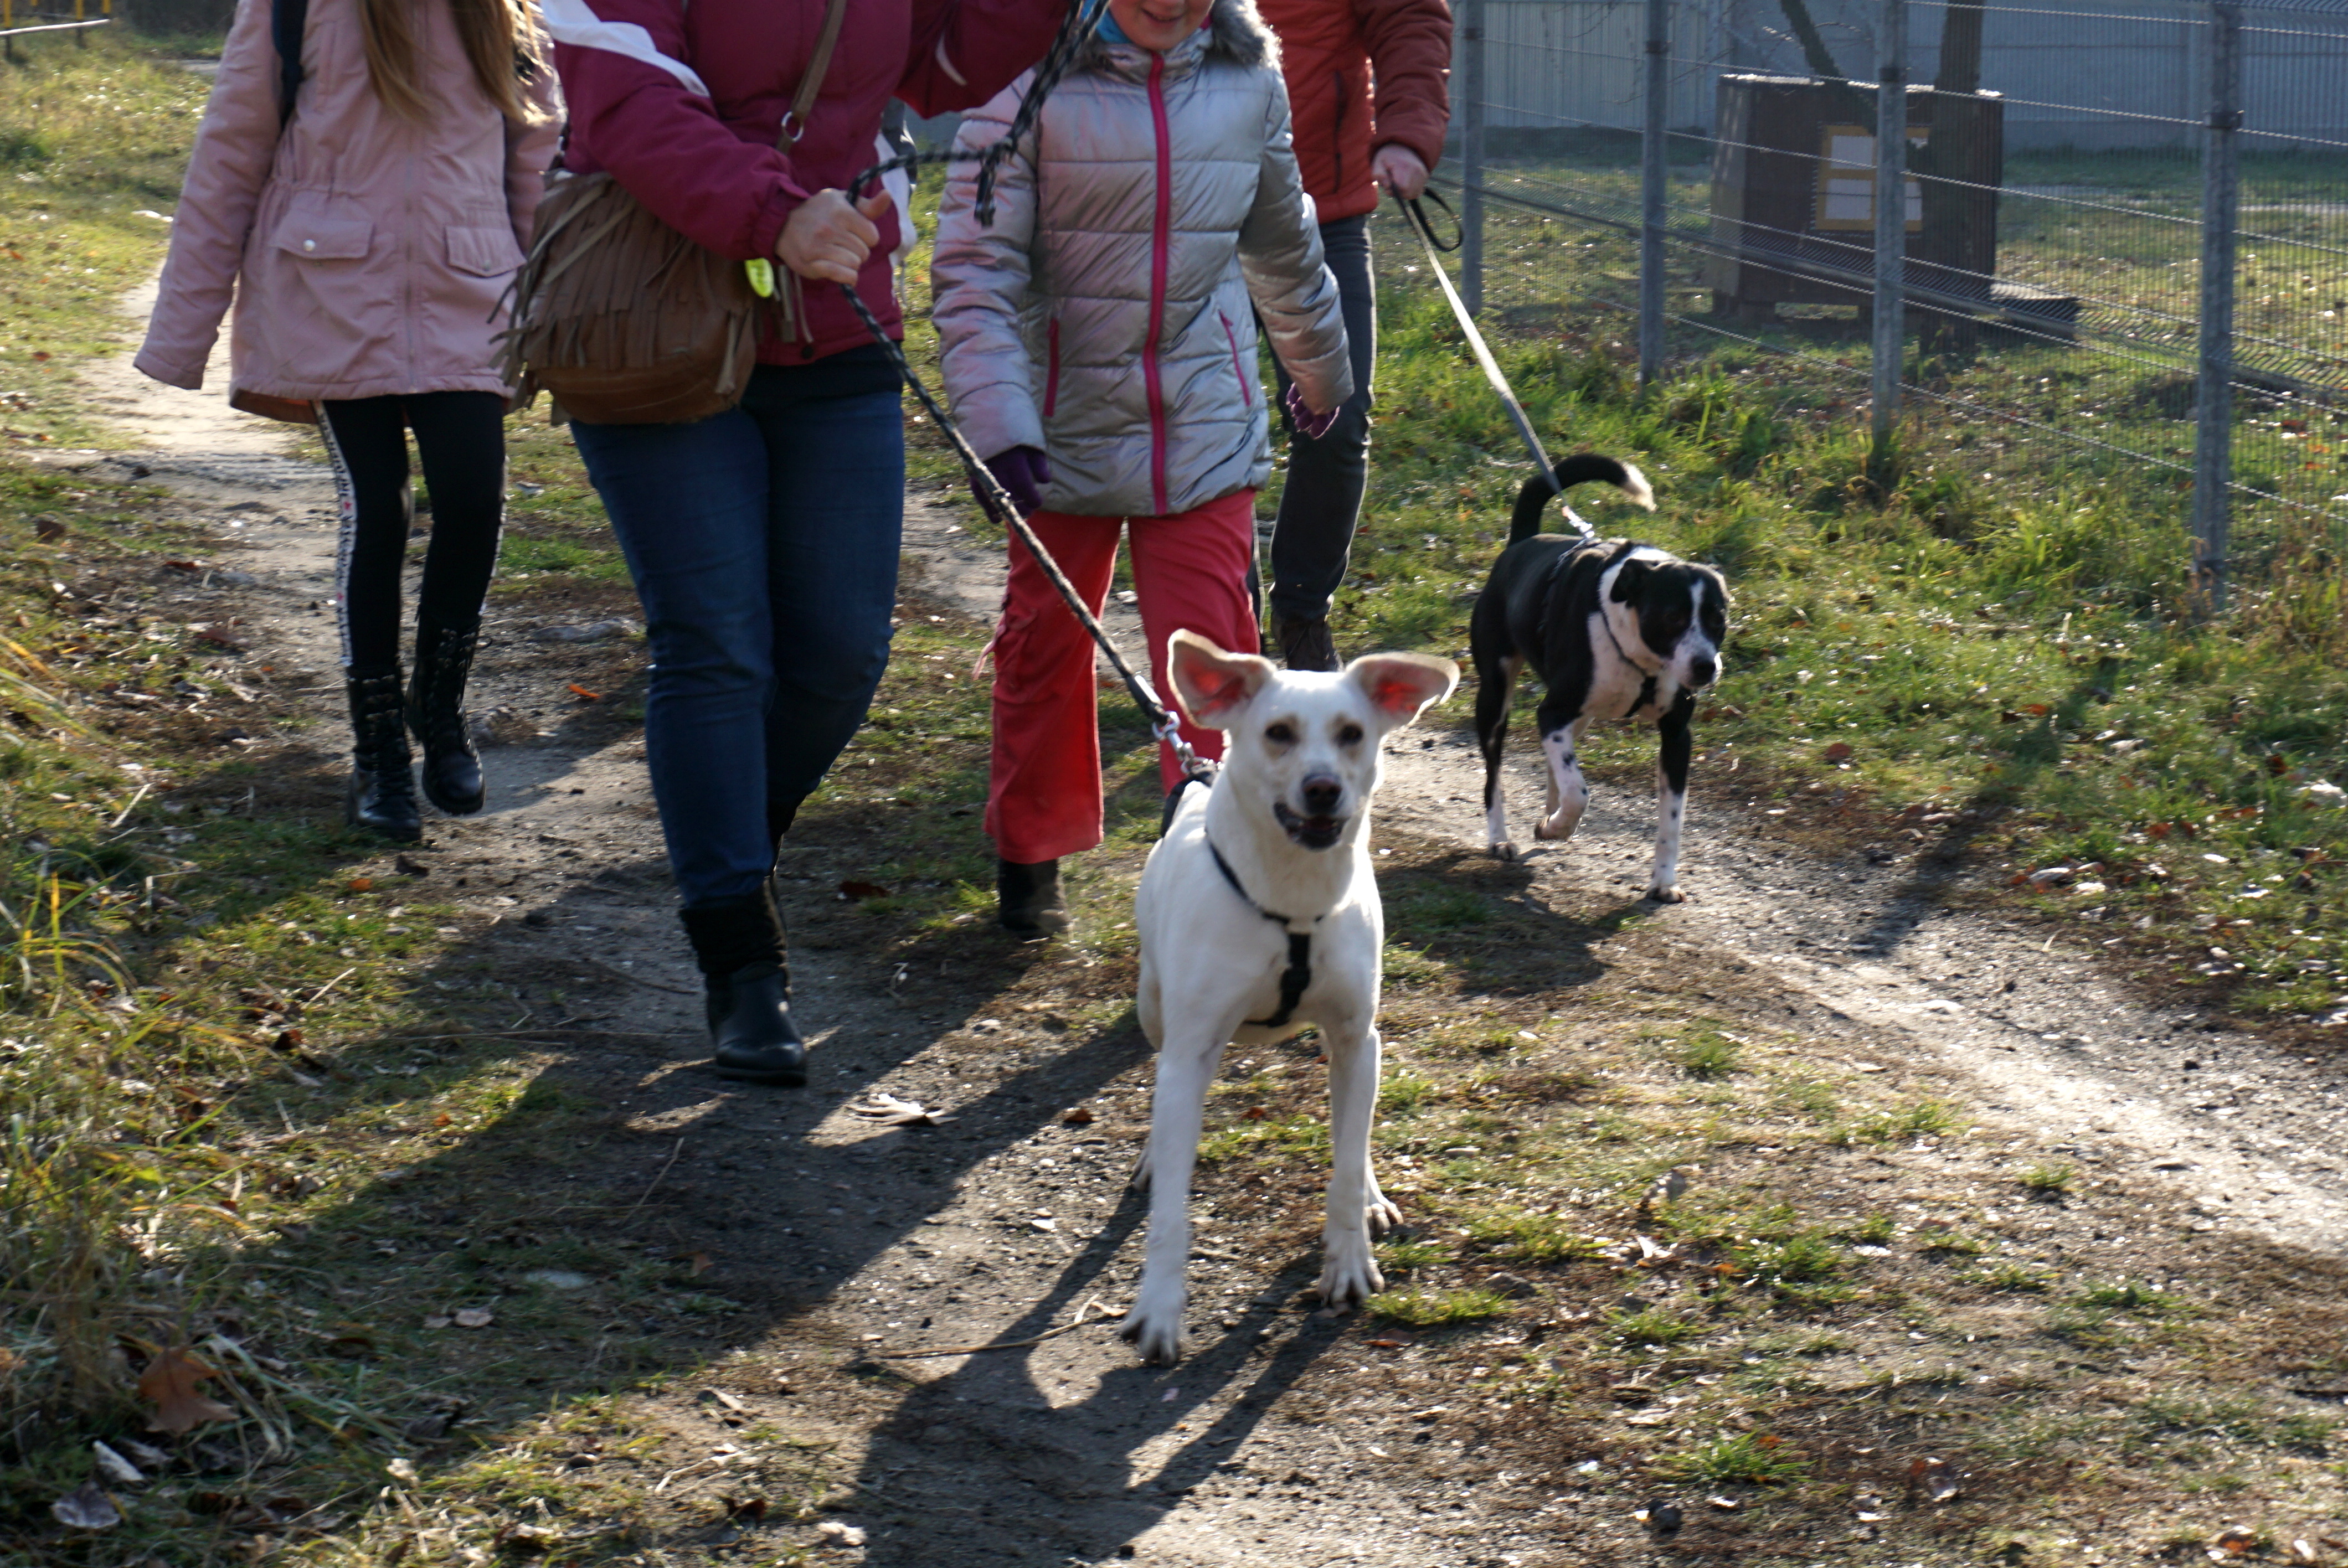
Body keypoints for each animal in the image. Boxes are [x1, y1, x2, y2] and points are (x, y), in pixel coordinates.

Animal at [1113, 629, 1446, 1361]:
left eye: (1352, 733)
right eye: (1278, 733)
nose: (1323, 788)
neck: (1294, 898)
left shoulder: (1356, 1033)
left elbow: (1345, 1166)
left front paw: (1348, 1261)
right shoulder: (1190, 1051)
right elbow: (1172, 1209)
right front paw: (1159, 1308)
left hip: (1352, 1047)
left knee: (1354, 1127)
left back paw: (1371, 1191)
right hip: (1154, 1007)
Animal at [1474, 453, 1737, 901]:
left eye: (1718, 619)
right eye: (1673, 617)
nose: (1706, 666)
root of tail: (1520, 545)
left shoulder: (1676, 735)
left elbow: (1672, 821)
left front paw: (1664, 882)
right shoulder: (1554, 712)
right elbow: (1579, 793)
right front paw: (1563, 825)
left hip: (1579, 719)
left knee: (1553, 765)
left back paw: (1547, 816)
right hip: (1495, 698)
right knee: (1495, 776)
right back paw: (1502, 838)